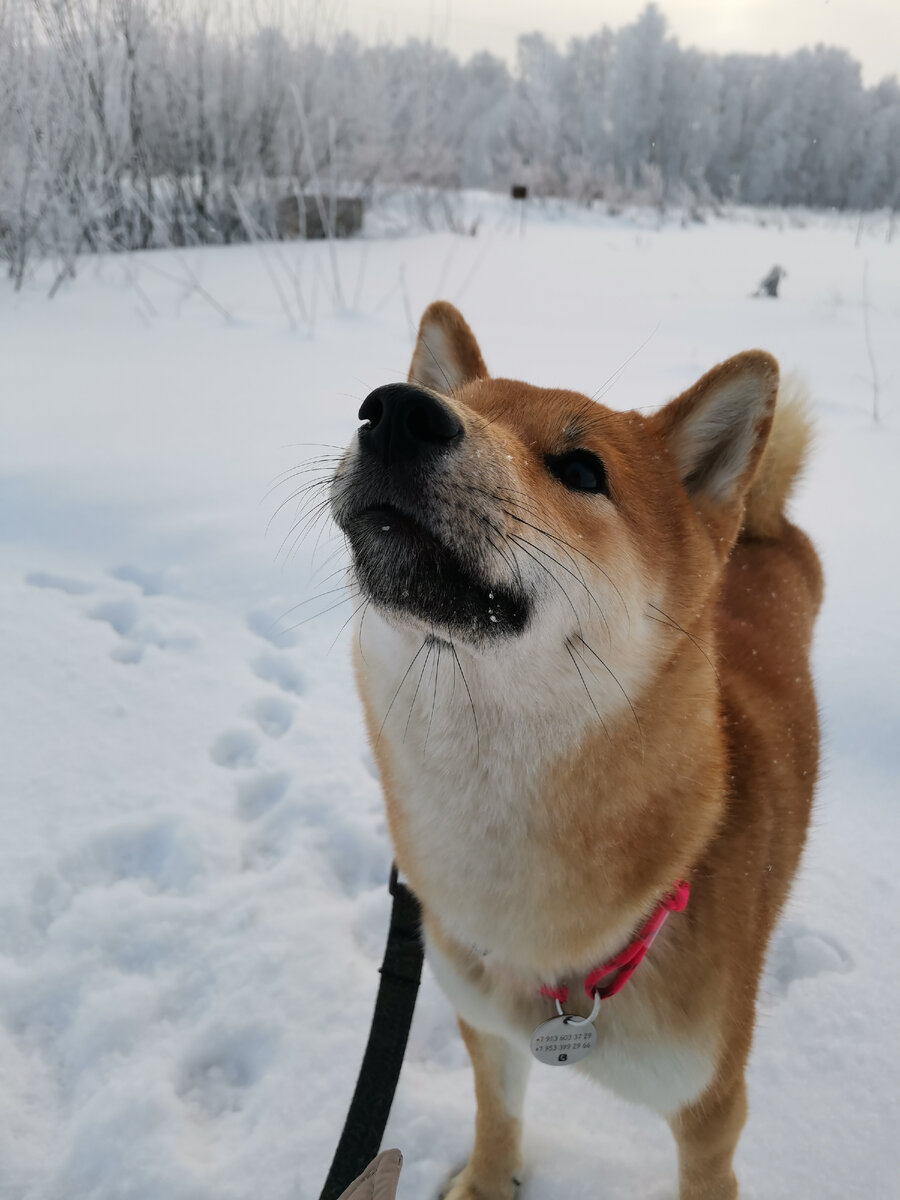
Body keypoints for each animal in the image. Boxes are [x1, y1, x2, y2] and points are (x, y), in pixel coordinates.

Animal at [331, 302, 825, 1200]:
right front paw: (486, 1184)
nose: (396, 412)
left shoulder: (711, 1108)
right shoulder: (486, 1024)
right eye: (471, 406)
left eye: (582, 468)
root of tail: (762, 526)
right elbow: (497, 1116)